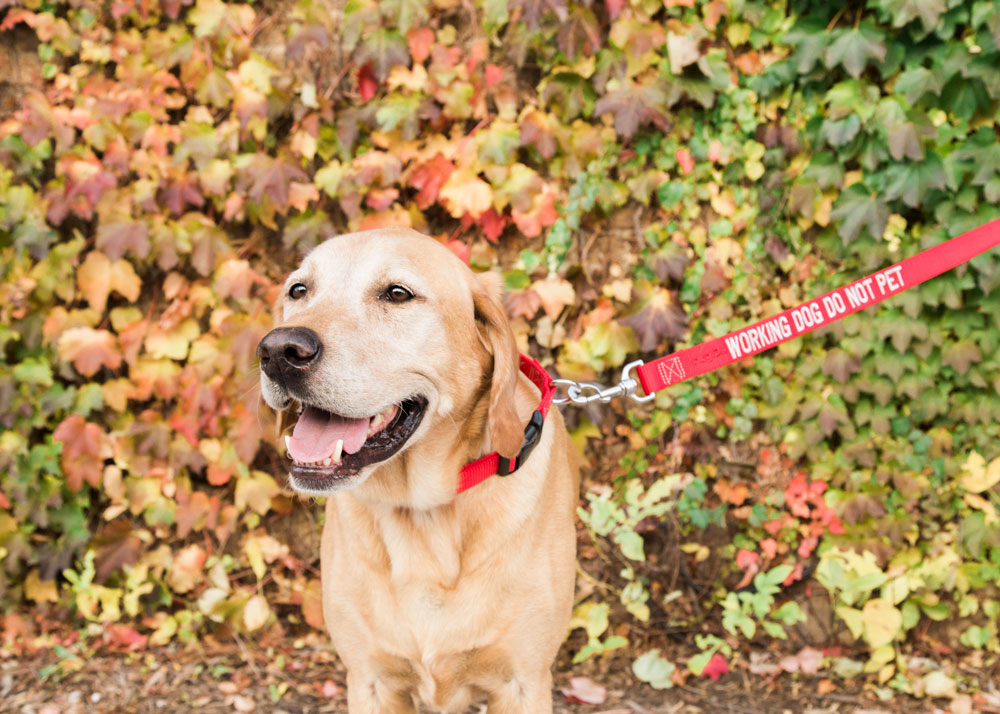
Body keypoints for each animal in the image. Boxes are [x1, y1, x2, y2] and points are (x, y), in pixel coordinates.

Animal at [258, 229, 580, 712]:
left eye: (397, 294)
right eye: (299, 290)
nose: (278, 350)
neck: (423, 513)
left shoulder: (523, 682)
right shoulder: (370, 680)